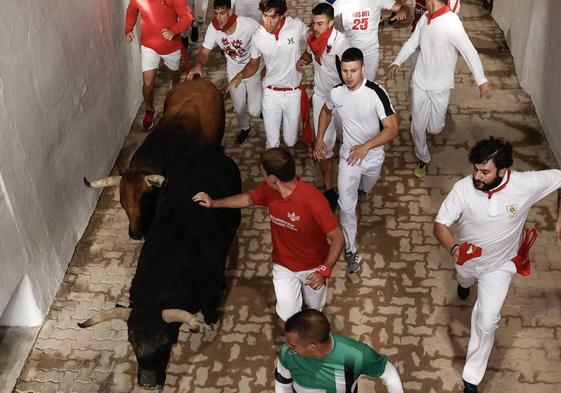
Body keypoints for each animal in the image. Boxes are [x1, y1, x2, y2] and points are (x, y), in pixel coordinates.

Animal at [80, 148, 241, 388]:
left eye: (167, 342)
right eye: (131, 341)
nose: (147, 383)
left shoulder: (209, 292)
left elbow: (211, 307)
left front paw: (212, 320)